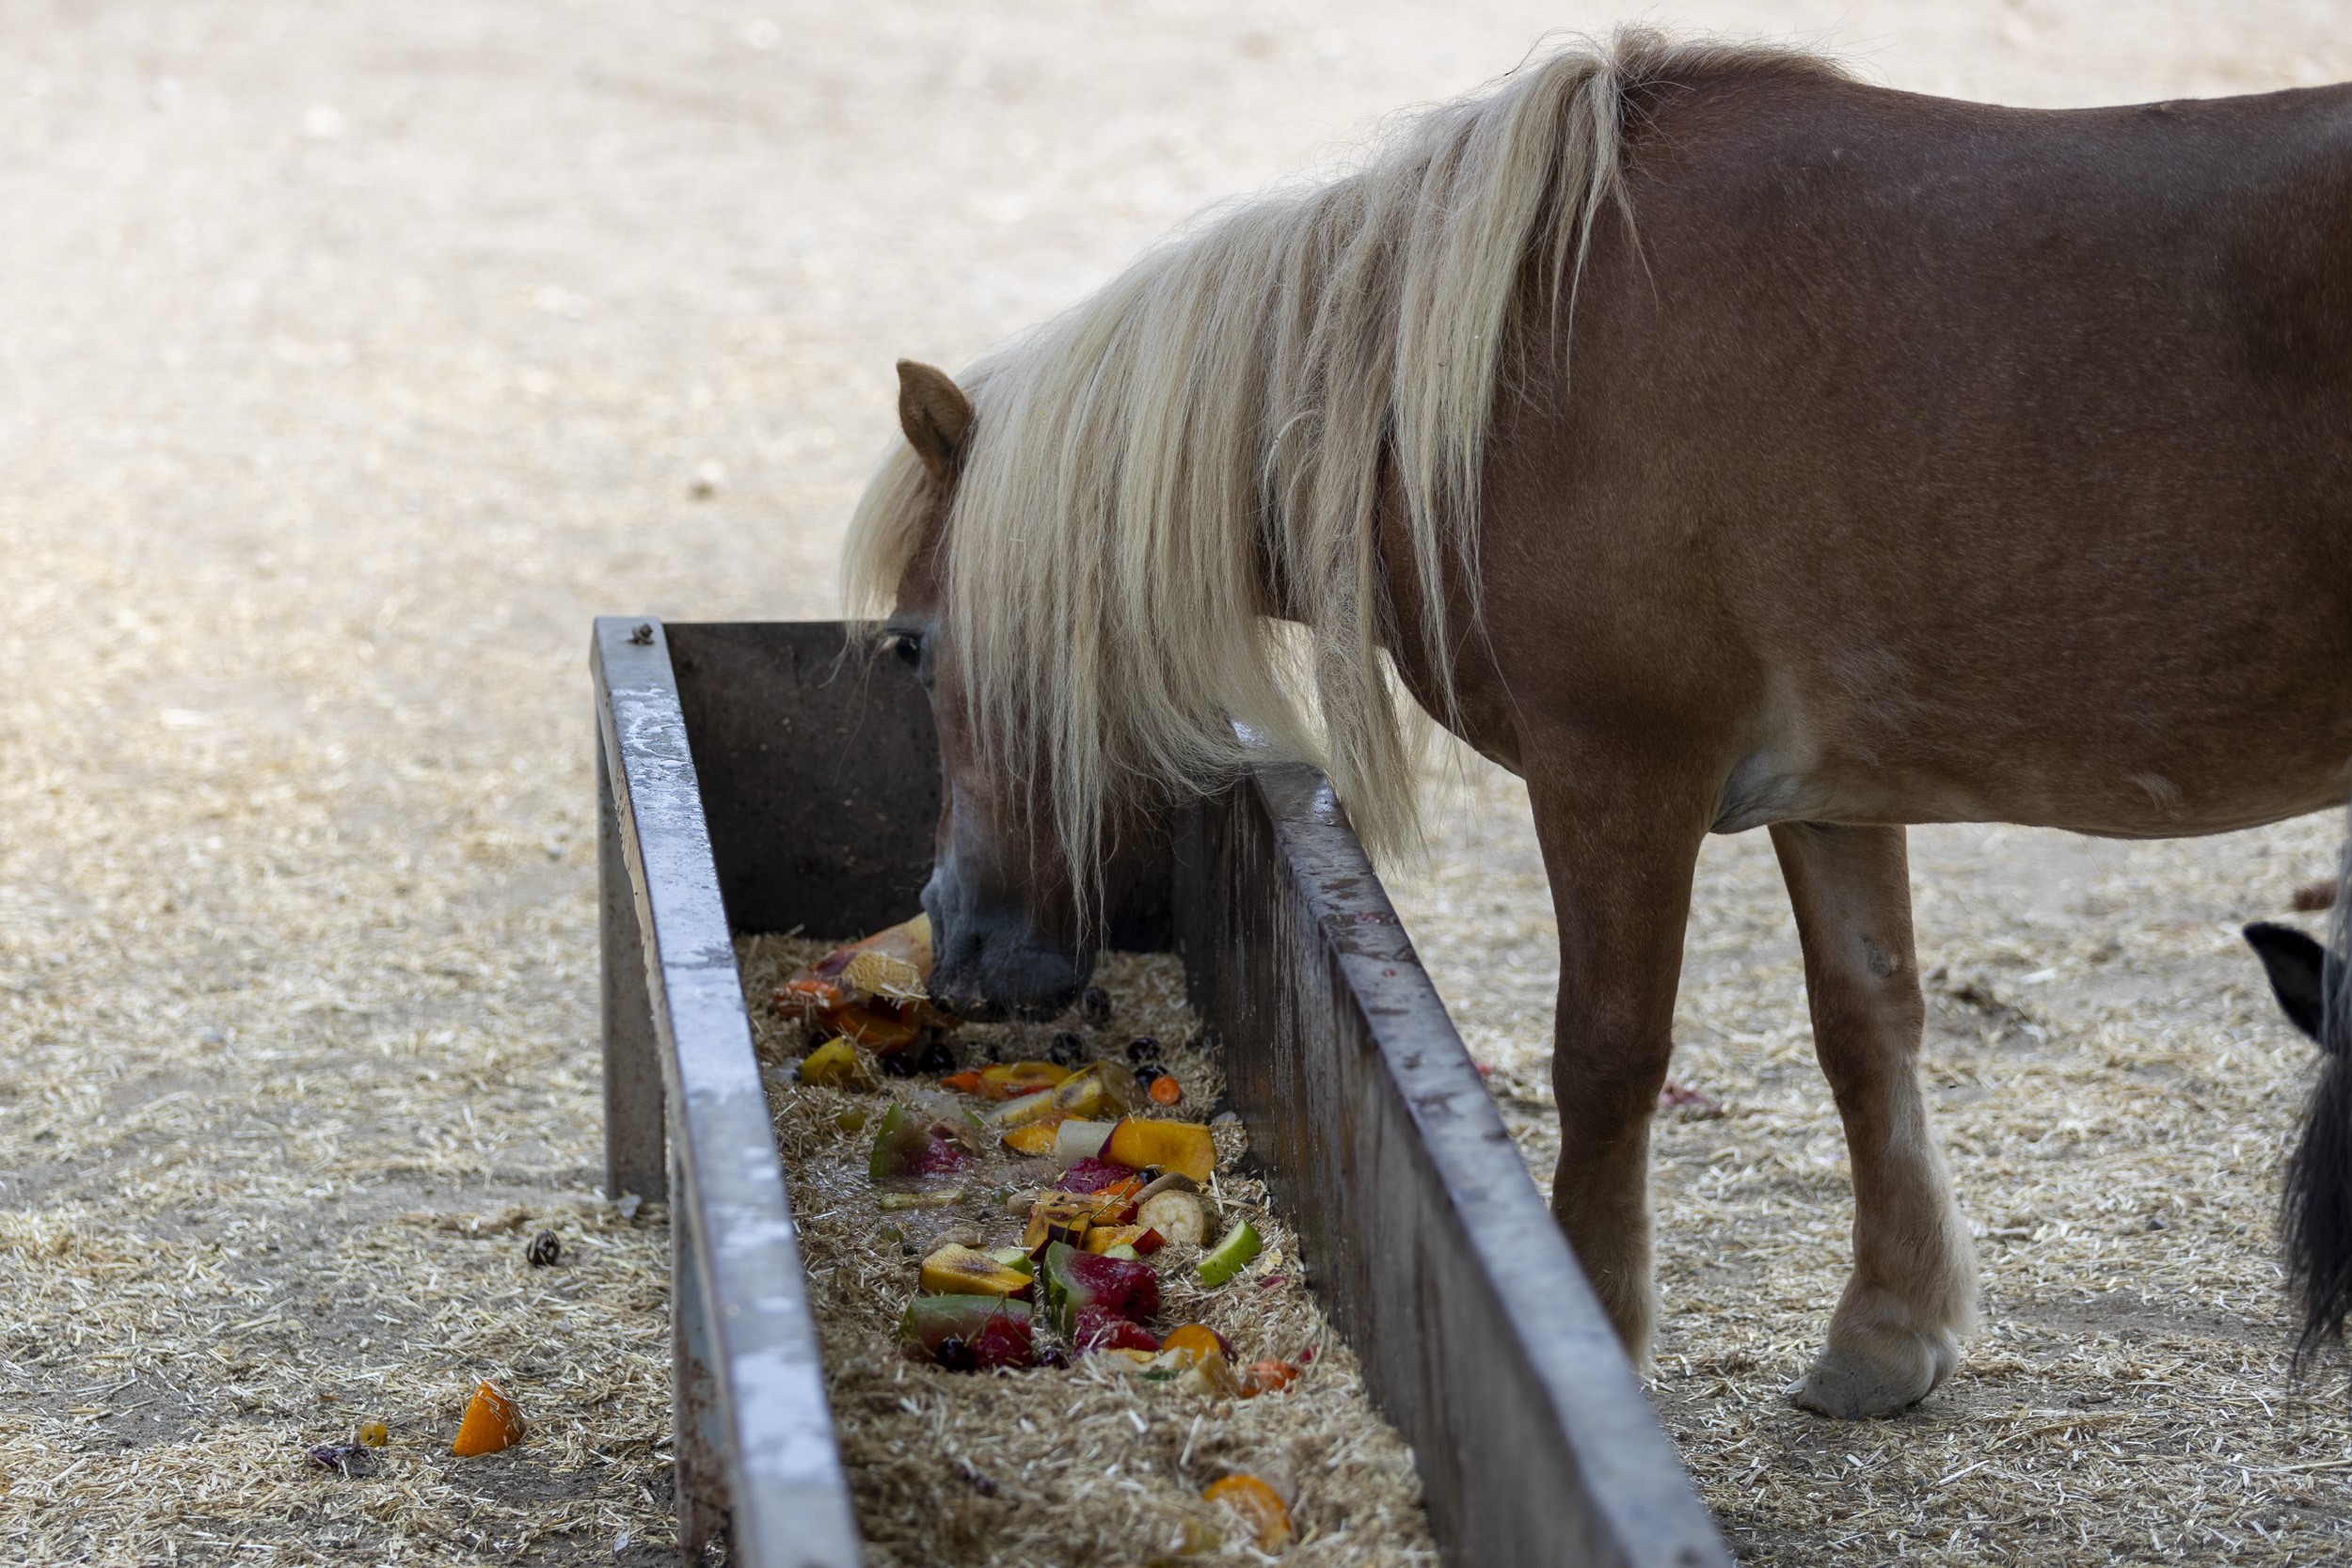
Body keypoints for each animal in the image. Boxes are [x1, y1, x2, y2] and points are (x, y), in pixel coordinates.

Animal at [851, 27, 2352, 1419]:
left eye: (912, 645)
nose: (965, 948)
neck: (1502, 369)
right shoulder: (1834, 795)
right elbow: (1870, 1026)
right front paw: (1887, 1331)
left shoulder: (1615, 777)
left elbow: (1608, 1054)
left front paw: (1594, 1325)